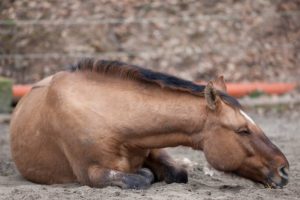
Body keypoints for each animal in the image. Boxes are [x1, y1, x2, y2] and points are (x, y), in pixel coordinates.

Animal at [10, 58, 290, 189]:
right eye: (242, 130)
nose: (284, 170)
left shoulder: (155, 148)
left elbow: (178, 173)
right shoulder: (91, 173)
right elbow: (141, 177)